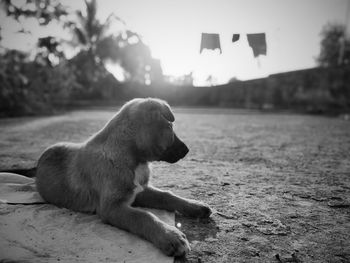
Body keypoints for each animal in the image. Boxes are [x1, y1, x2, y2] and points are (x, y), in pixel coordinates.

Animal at [34, 98, 212, 256]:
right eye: (169, 126)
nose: (187, 150)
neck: (132, 158)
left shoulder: (141, 190)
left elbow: (167, 195)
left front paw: (194, 205)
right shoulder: (112, 207)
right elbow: (143, 216)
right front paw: (170, 236)